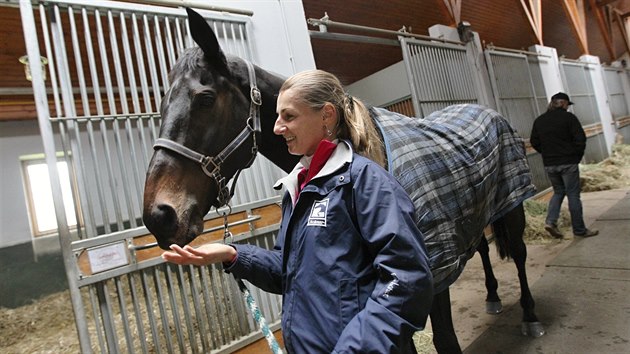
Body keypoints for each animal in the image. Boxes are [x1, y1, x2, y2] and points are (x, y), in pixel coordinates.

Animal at [144, 8, 548, 354]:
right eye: (161, 107)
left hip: (510, 206)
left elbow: (445, 339)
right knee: (483, 248)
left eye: (205, 98)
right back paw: (493, 297)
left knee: (520, 254)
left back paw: (531, 316)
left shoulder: (433, 276)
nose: (158, 215)